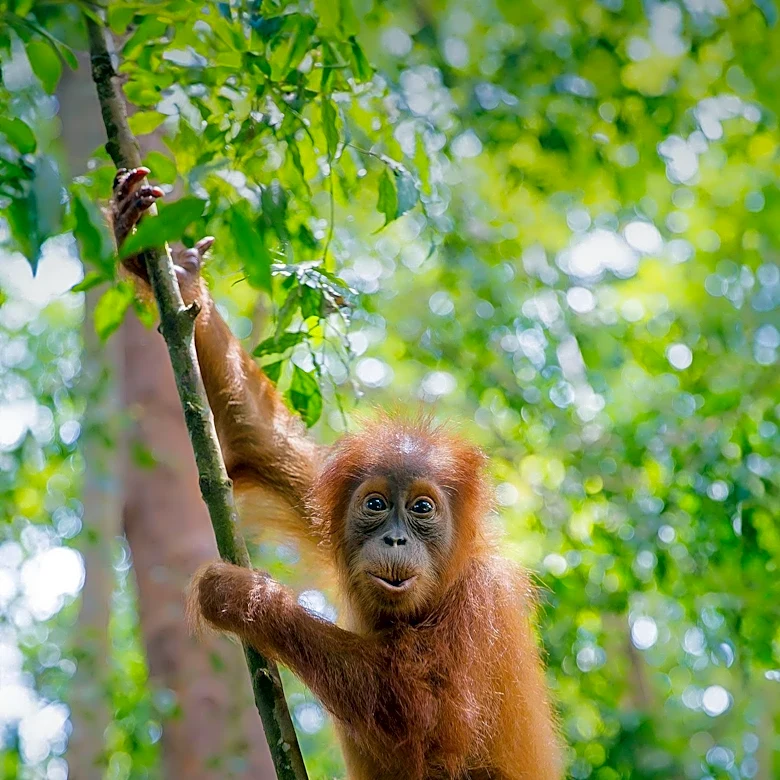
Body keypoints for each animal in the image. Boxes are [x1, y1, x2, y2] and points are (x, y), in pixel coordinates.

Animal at [110, 167, 564, 780]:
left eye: (422, 508)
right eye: (375, 505)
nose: (395, 537)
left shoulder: (482, 602)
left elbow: (430, 716)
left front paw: (243, 598)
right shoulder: (321, 493)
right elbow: (257, 438)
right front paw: (169, 267)